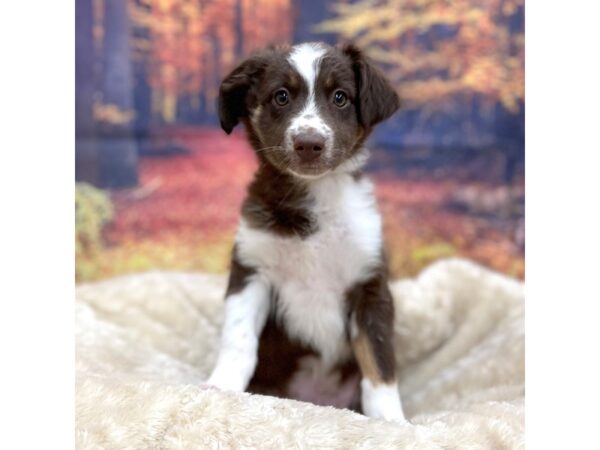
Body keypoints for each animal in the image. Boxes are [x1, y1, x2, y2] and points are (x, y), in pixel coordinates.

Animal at [207, 41, 408, 422]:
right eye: (281, 96)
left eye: (340, 97)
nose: (309, 143)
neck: (316, 196)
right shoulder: (252, 269)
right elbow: (238, 338)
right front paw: (222, 386)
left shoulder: (369, 286)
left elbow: (380, 361)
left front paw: (391, 419)